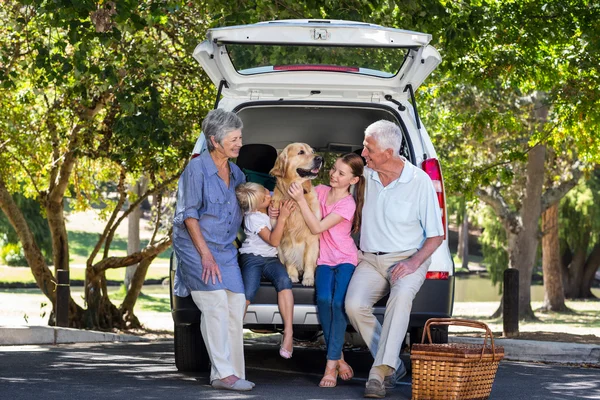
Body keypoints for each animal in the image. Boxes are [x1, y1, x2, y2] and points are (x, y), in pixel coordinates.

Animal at [270, 142, 324, 286]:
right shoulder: (284, 238)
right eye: (301, 152)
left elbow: (309, 261)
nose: (320, 158)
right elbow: (289, 259)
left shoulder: (312, 238)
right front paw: (292, 275)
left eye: (312, 151)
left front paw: (308, 278)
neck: (294, 198)